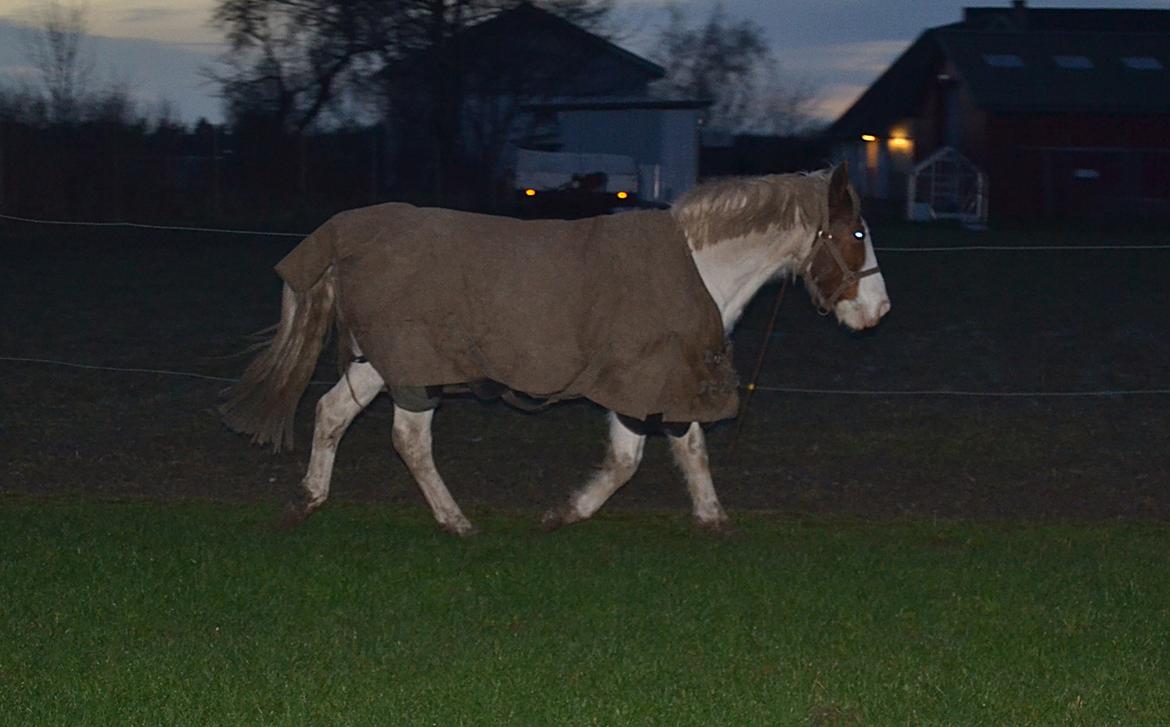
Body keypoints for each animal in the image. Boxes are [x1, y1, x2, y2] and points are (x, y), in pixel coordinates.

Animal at [223, 162, 889, 533]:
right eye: (857, 232)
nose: (879, 311)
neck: (701, 266)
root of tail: (344, 235)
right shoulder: (640, 378)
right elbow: (630, 460)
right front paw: (564, 513)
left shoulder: (664, 377)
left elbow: (685, 449)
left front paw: (713, 520)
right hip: (414, 363)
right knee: (407, 438)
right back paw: (455, 521)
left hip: (382, 361)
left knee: (332, 411)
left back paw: (308, 499)